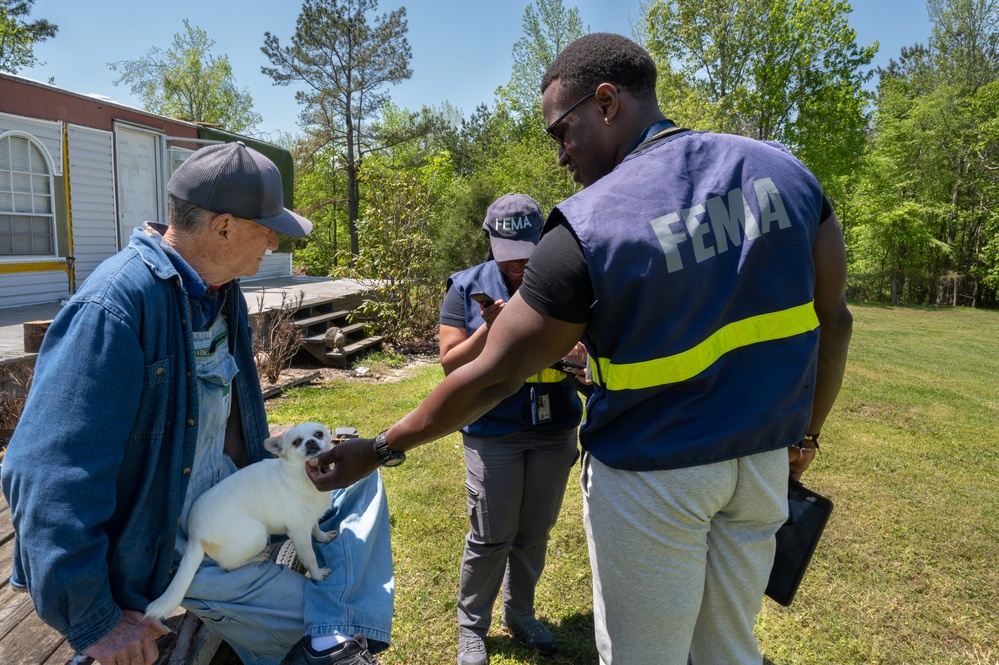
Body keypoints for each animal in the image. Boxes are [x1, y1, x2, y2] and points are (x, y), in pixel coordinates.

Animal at [146, 422, 340, 620]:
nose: (310, 442)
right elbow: (310, 557)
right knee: (228, 566)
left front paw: (323, 537)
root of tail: (193, 534)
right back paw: (258, 557)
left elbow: (316, 527)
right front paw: (317, 575)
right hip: (258, 534)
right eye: (296, 442)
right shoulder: (299, 533)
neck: (300, 476)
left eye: (319, 434)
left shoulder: (309, 518)